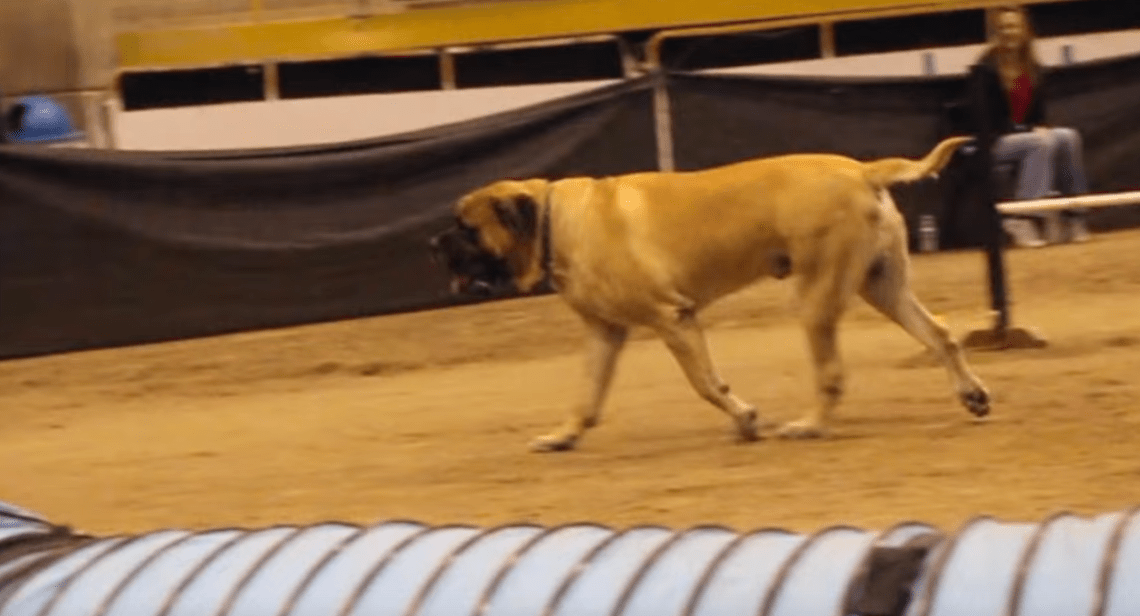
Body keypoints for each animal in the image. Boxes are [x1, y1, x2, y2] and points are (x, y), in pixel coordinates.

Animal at [428, 135, 989, 451]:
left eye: (467, 228)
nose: (433, 244)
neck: (554, 222)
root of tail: (862, 169)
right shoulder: (605, 333)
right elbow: (586, 396)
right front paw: (563, 436)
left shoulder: (673, 319)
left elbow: (705, 384)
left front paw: (745, 419)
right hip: (882, 284)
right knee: (941, 334)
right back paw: (972, 394)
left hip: (816, 298)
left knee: (831, 374)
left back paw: (808, 426)